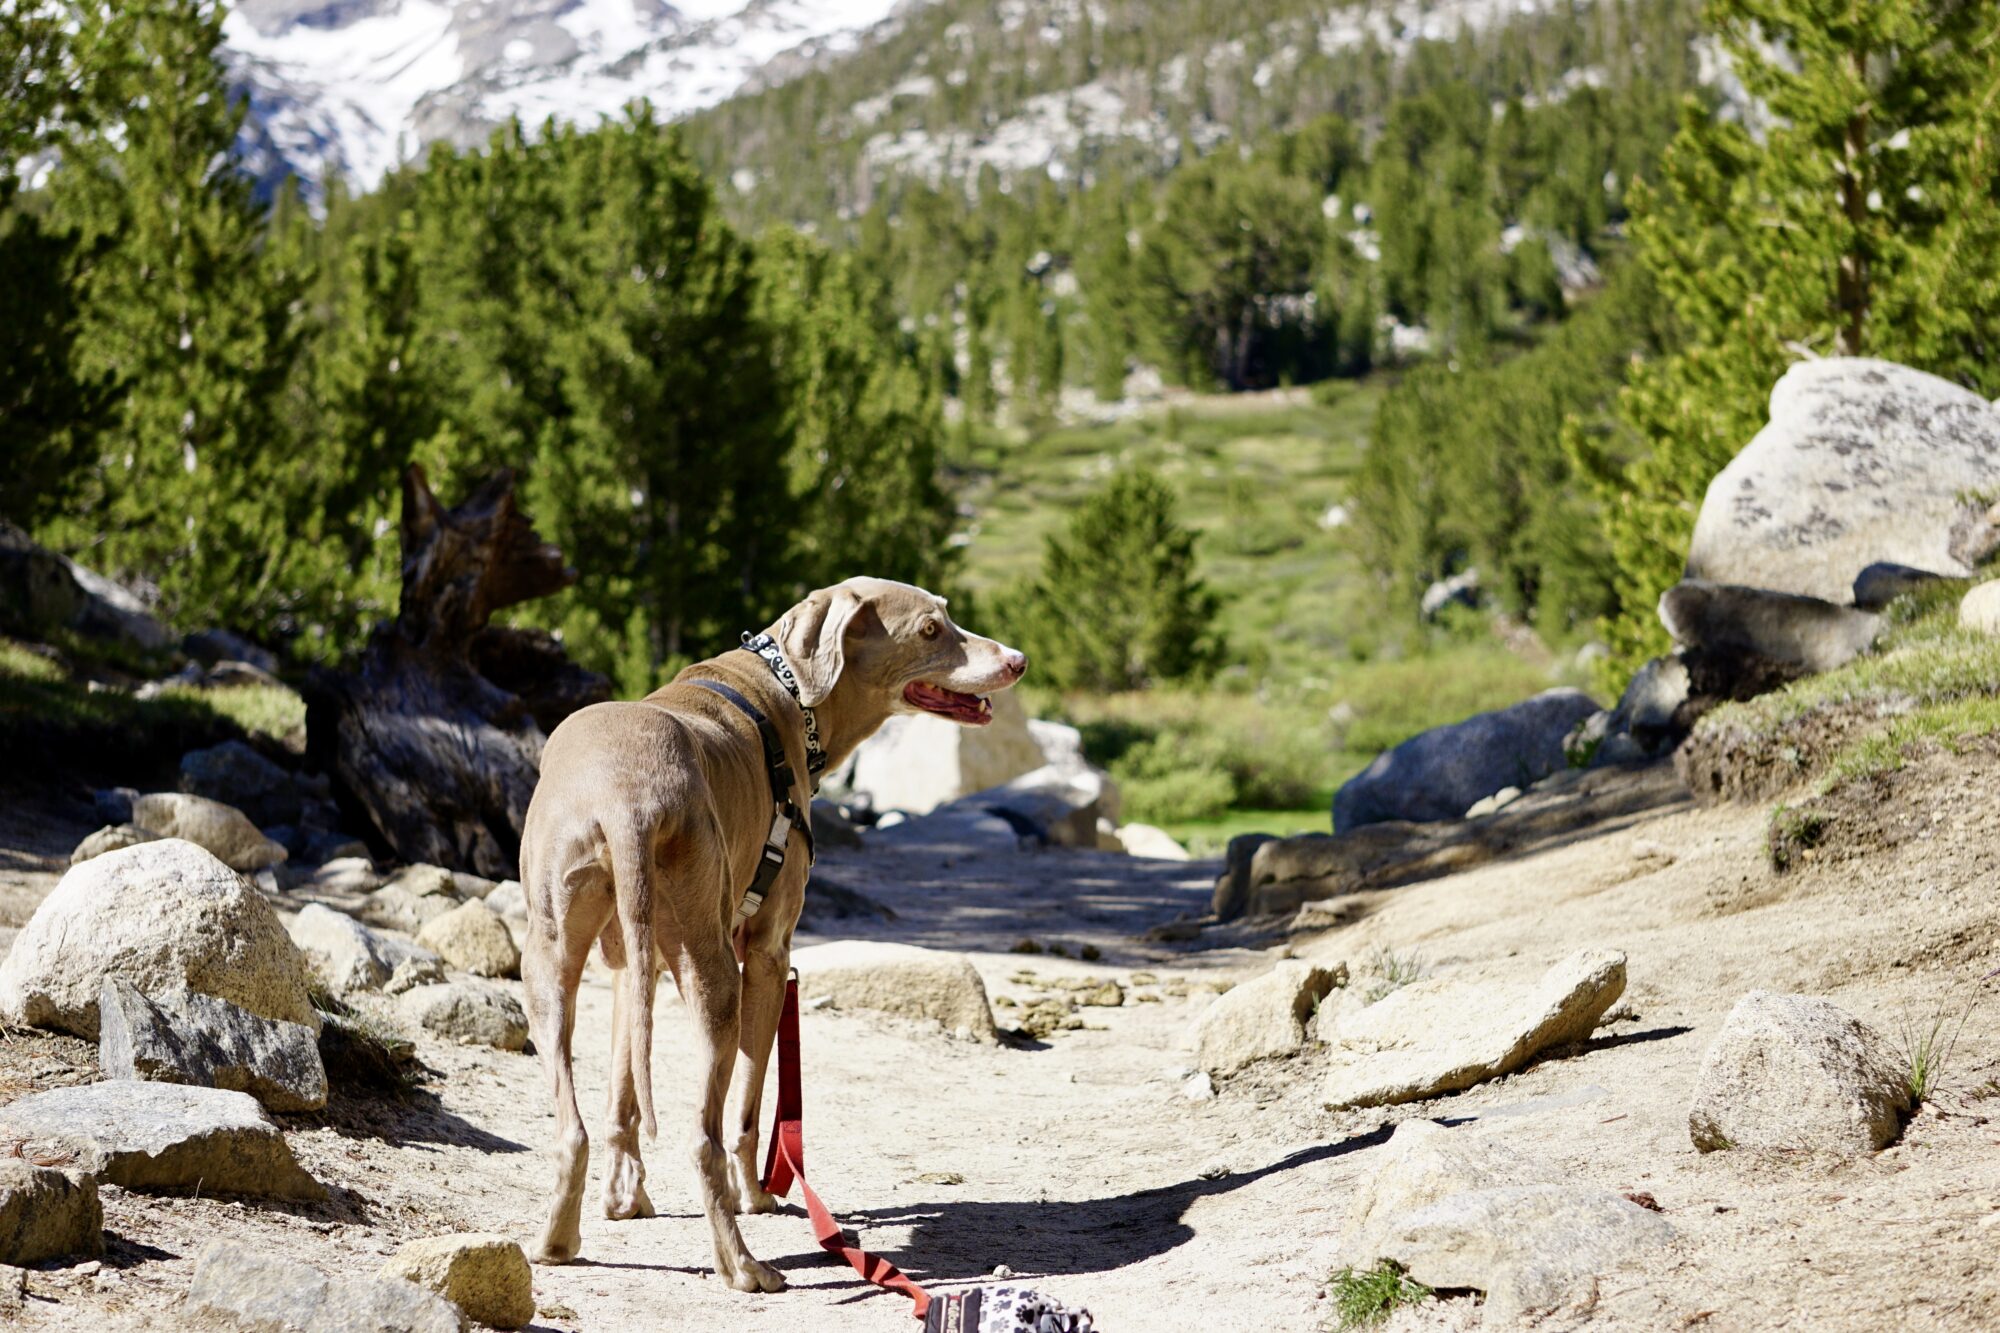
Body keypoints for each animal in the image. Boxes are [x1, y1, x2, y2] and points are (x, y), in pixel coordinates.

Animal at [524, 572, 1024, 1288]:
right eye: (932, 629)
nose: (1018, 660)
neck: (785, 689)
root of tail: (625, 797)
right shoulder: (766, 952)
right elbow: (750, 1106)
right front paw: (757, 1194)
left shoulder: (629, 963)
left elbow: (623, 1089)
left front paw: (625, 1198)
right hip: (713, 977)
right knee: (703, 1136)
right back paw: (743, 1265)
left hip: (551, 960)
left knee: (573, 1127)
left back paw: (556, 1241)